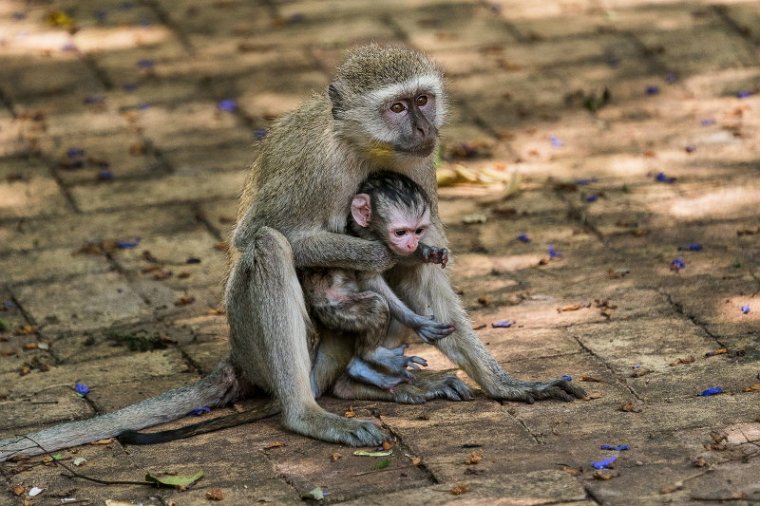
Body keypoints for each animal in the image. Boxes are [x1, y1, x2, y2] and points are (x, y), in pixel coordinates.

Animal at [302, 171, 458, 392]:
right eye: (400, 232)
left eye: (418, 231)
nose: (412, 244)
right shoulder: (369, 245)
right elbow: (370, 280)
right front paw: (417, 321)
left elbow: (399, 256)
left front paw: (428, 252)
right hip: (334, 310)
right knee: (376, 305)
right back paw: (372, 355)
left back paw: (360, 368)